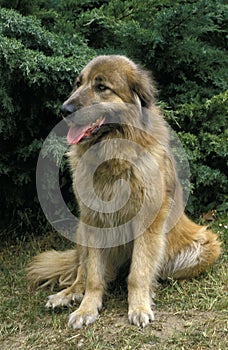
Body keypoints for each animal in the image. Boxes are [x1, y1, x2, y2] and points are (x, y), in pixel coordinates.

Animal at [27, 54, 221, 328]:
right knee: (81, 271)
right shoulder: (94, 220)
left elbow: (138, 273)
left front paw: (139, 306)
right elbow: (93, 276)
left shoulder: (148, 222)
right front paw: (87, 308)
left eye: (101, 87)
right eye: (78, 83)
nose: (64, 111)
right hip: (82, 229)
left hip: (205, 246)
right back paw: (68, 294)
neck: (113, 156)